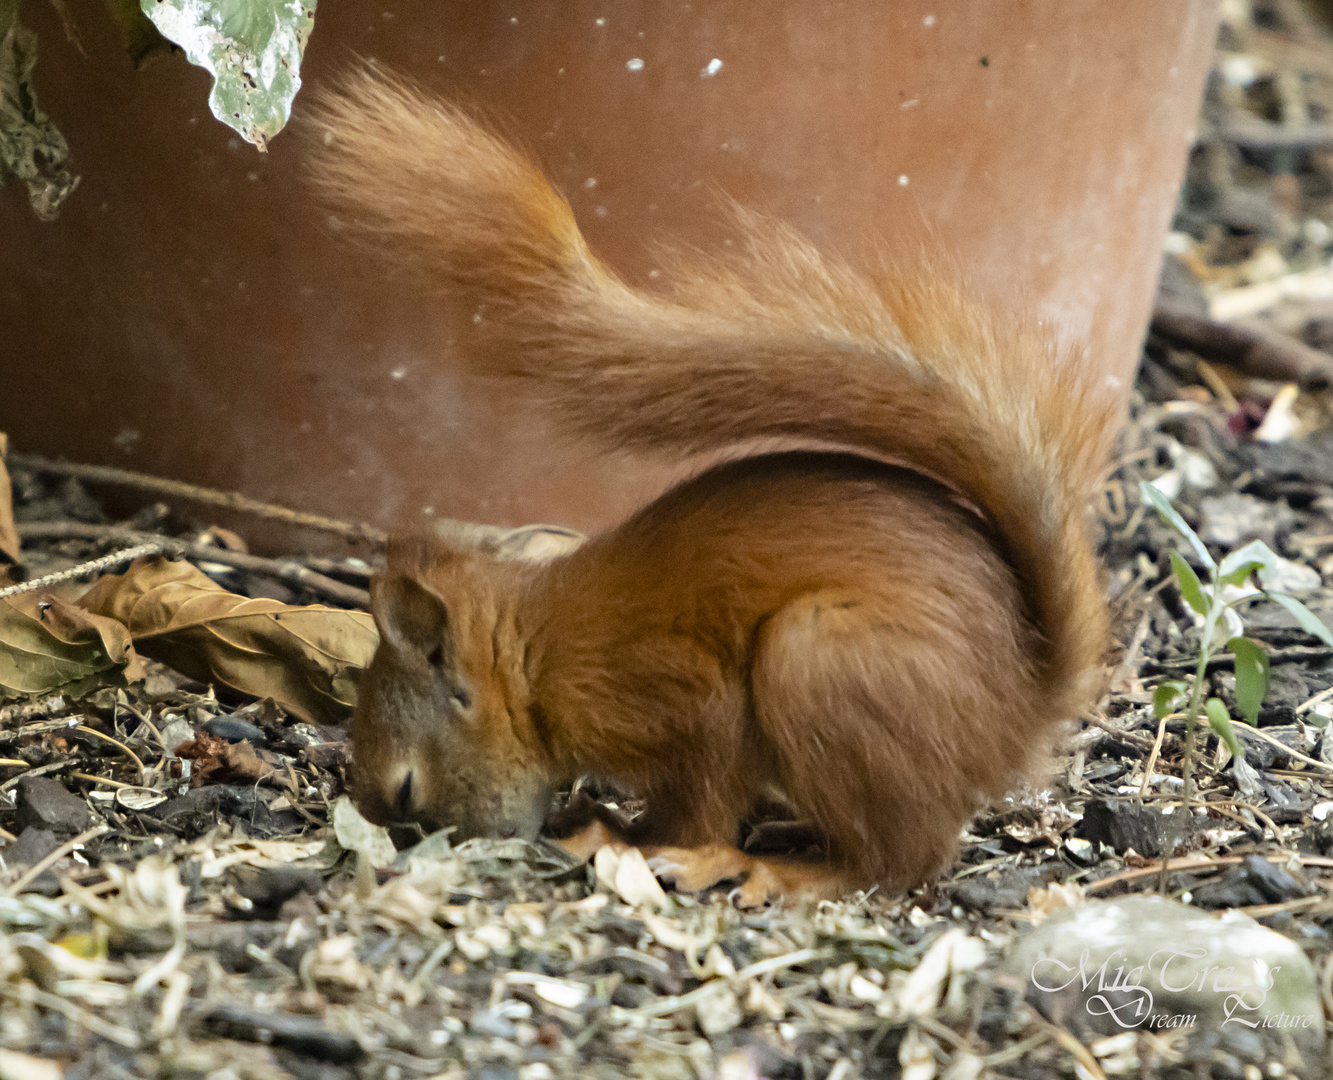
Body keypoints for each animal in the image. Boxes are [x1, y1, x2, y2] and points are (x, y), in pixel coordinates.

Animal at [309, 67, 1114, 890]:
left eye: (406, 791)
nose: (439, 850)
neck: (536, 657)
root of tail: (1024, 704)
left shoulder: (677, 695)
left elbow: (699, 793)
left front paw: (633, 842)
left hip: (818, 659)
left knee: (897, 861)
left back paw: (787, 871)